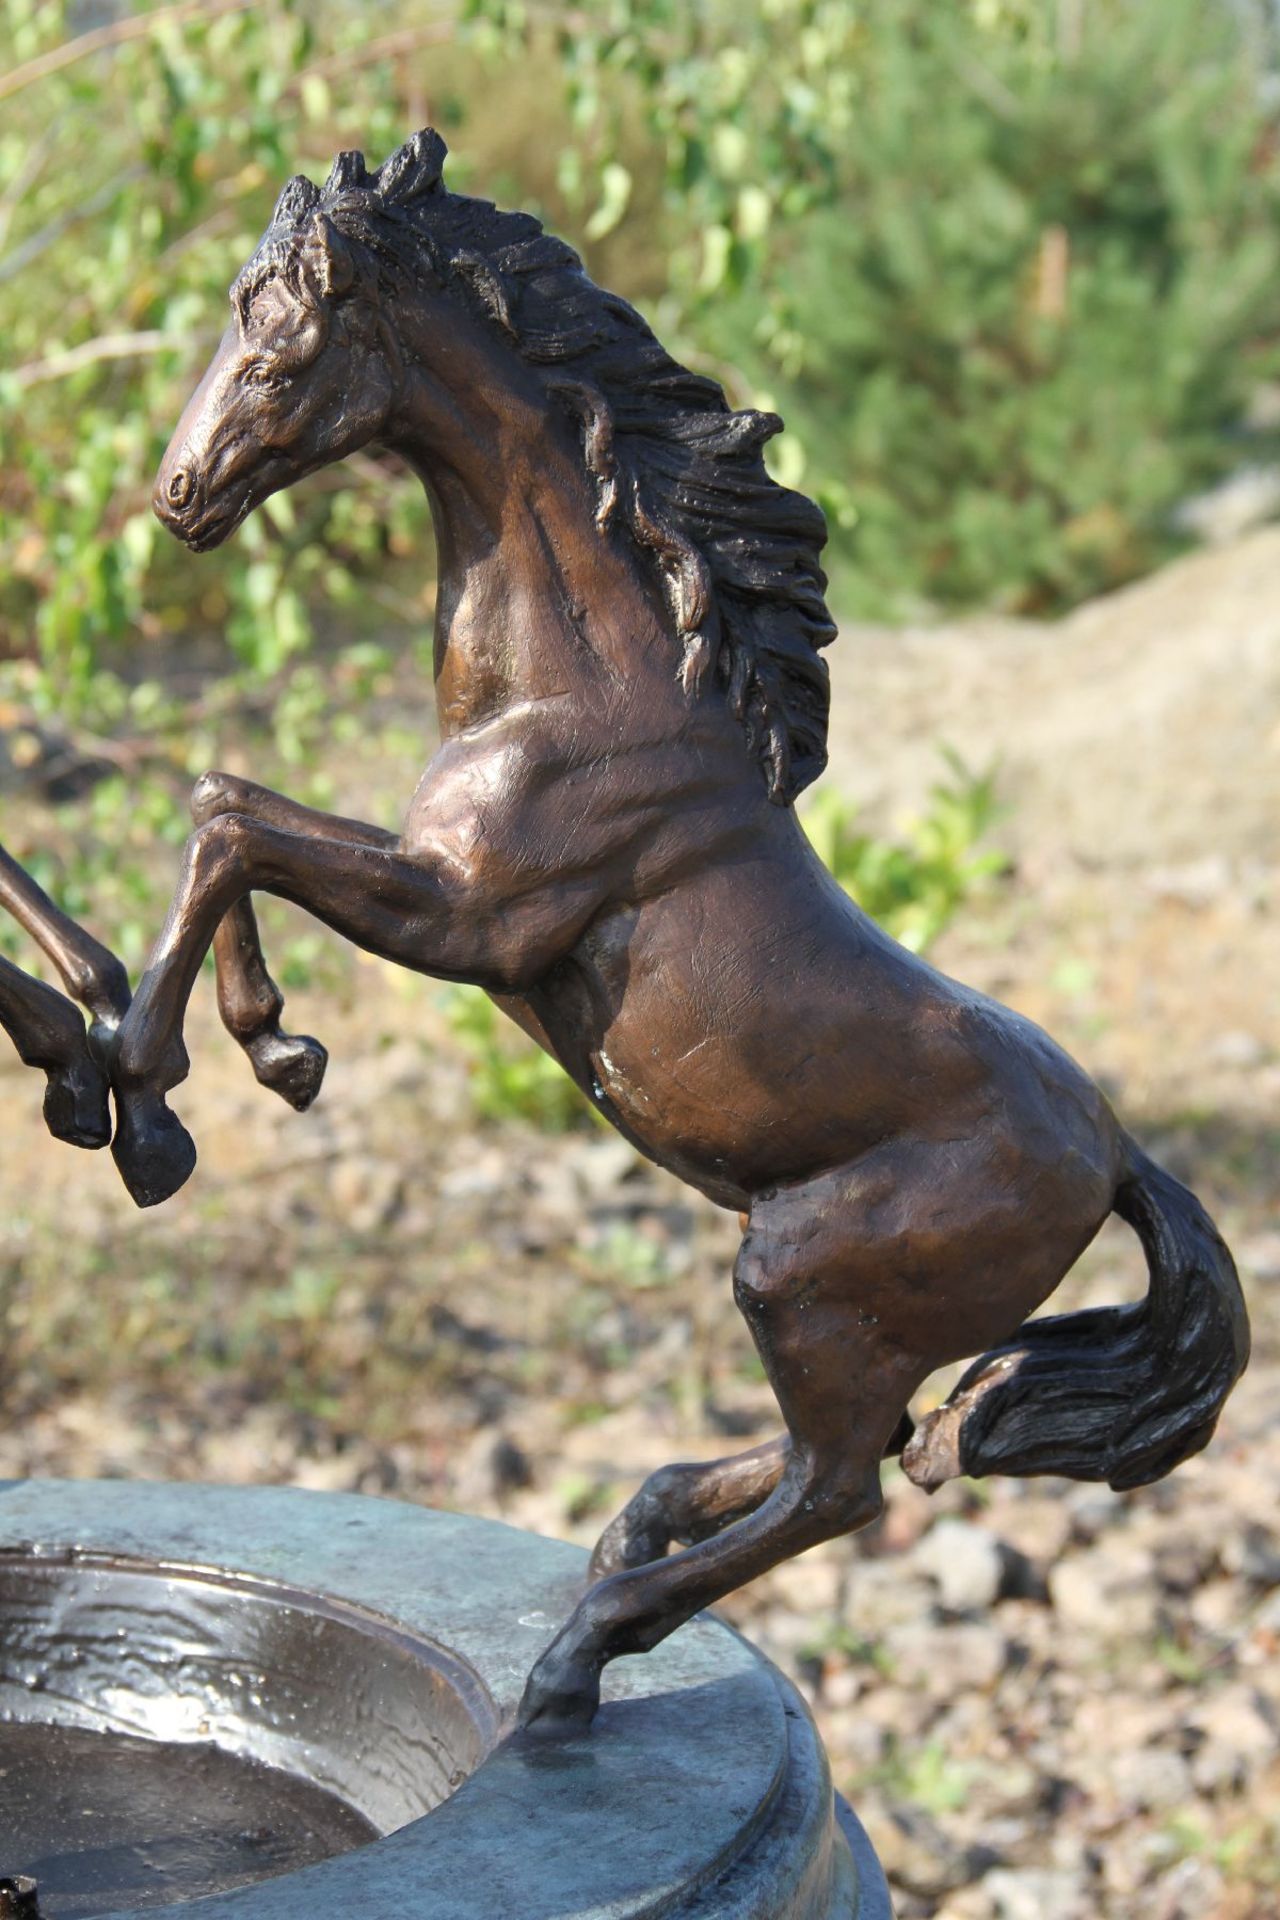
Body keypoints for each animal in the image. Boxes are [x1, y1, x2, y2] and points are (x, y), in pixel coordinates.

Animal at [112, 131, 1251, 1728]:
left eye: (275, 344)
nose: (177, 494)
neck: (588, 684)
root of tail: (1117, 1153)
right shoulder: (446, 904)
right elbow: (229, 802)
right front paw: (277, 1051)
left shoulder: (471, 920)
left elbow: (231, 824)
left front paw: (152, 1097)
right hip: (839, 1306)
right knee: (864, 1448)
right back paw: (633, 1528)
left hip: (799, 1278)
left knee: (846, 1487)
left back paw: (584, 1648)